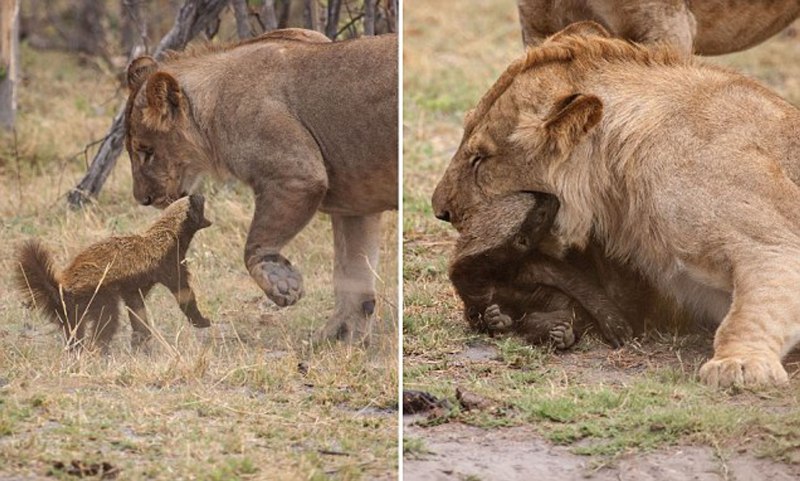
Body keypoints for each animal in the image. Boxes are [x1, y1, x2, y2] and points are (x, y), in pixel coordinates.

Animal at [16, 194, 212, 348]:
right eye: (197, 202)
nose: (201, 194)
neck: (168, 234)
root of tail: (62, 288)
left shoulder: (134, 287)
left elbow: (137, 309)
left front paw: (141, 339)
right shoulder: (169, 264)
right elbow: (184, 293)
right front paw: (202, 321)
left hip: (74, 310)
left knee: (74, 331)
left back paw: (76, 350)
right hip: (99, 296)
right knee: (106, 322)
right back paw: (98, 350)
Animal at [122, 29, 396, 342]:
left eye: (146, 151)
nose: (142, 198)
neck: (210, 107)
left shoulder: (297, 174)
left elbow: (255, 244)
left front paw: (282, 283)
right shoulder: (355, 204)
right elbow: (353, 275)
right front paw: (339, 337)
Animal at [450, 191, 632, 348]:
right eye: (541, 215)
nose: (554, 198)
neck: (498, 273)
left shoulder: (530, 264)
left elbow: (576, 282)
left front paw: (614, 321)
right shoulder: (474, 288)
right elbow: (475, 315)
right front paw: (492, 319)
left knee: (559, 312)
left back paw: (562, 334)